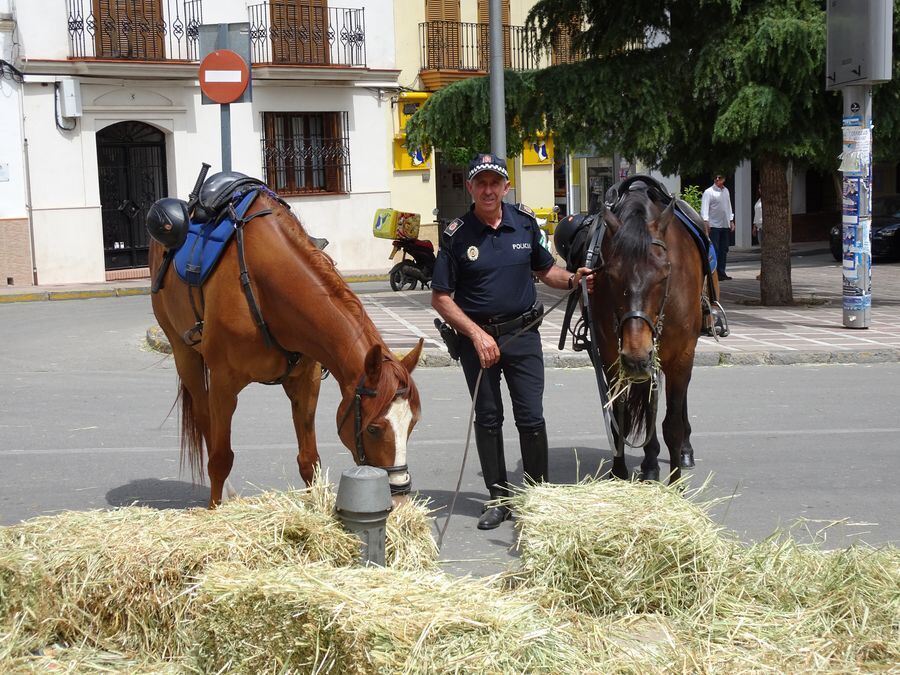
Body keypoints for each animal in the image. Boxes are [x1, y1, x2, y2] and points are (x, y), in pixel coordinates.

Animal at [149, 190, 424, 508]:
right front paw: (216, 509)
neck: (264, 285)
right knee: (206, 422)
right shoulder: (223, 384)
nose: (400, 498)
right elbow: (220, 459)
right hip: (186, 356)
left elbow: (309, 459)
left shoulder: (306, 382)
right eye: (373, 428)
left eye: (413, 423)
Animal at [584, 182, 712, 484]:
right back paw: (650, 461)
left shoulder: (681, 354)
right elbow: (619, 414)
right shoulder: (611, 356)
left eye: (664, 274)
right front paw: (620, 472)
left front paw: (676, 485)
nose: (636, 356)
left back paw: (684, 452)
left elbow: (673, 424)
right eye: (610, 276)